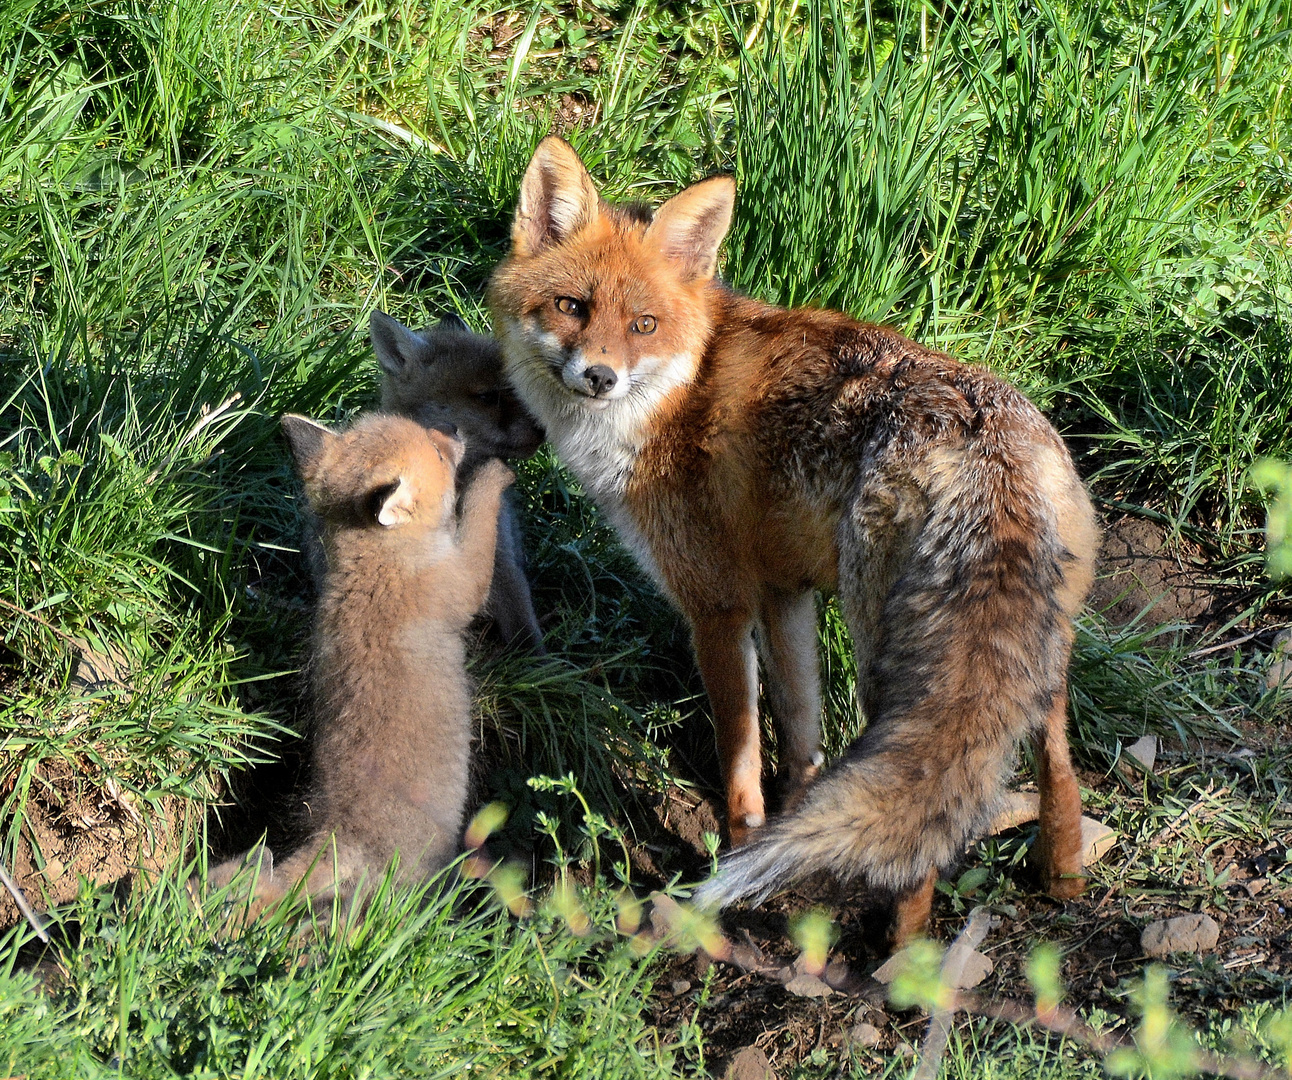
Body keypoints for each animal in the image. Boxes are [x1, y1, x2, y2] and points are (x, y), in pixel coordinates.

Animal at [488, 136, 1095, 945]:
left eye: (643, 325)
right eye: (570, 307)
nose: (599, 376)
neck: (677, 394)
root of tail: (986, 444)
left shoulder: (717, 604)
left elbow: (740, 750)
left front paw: (741, 847)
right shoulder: (785, 593)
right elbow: (801, 730)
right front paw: (792, 822)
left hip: (885, 655)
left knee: (927, 825)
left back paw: (902, 951)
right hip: (1039, 653)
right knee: (1059, 766)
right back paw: (1062, 878)